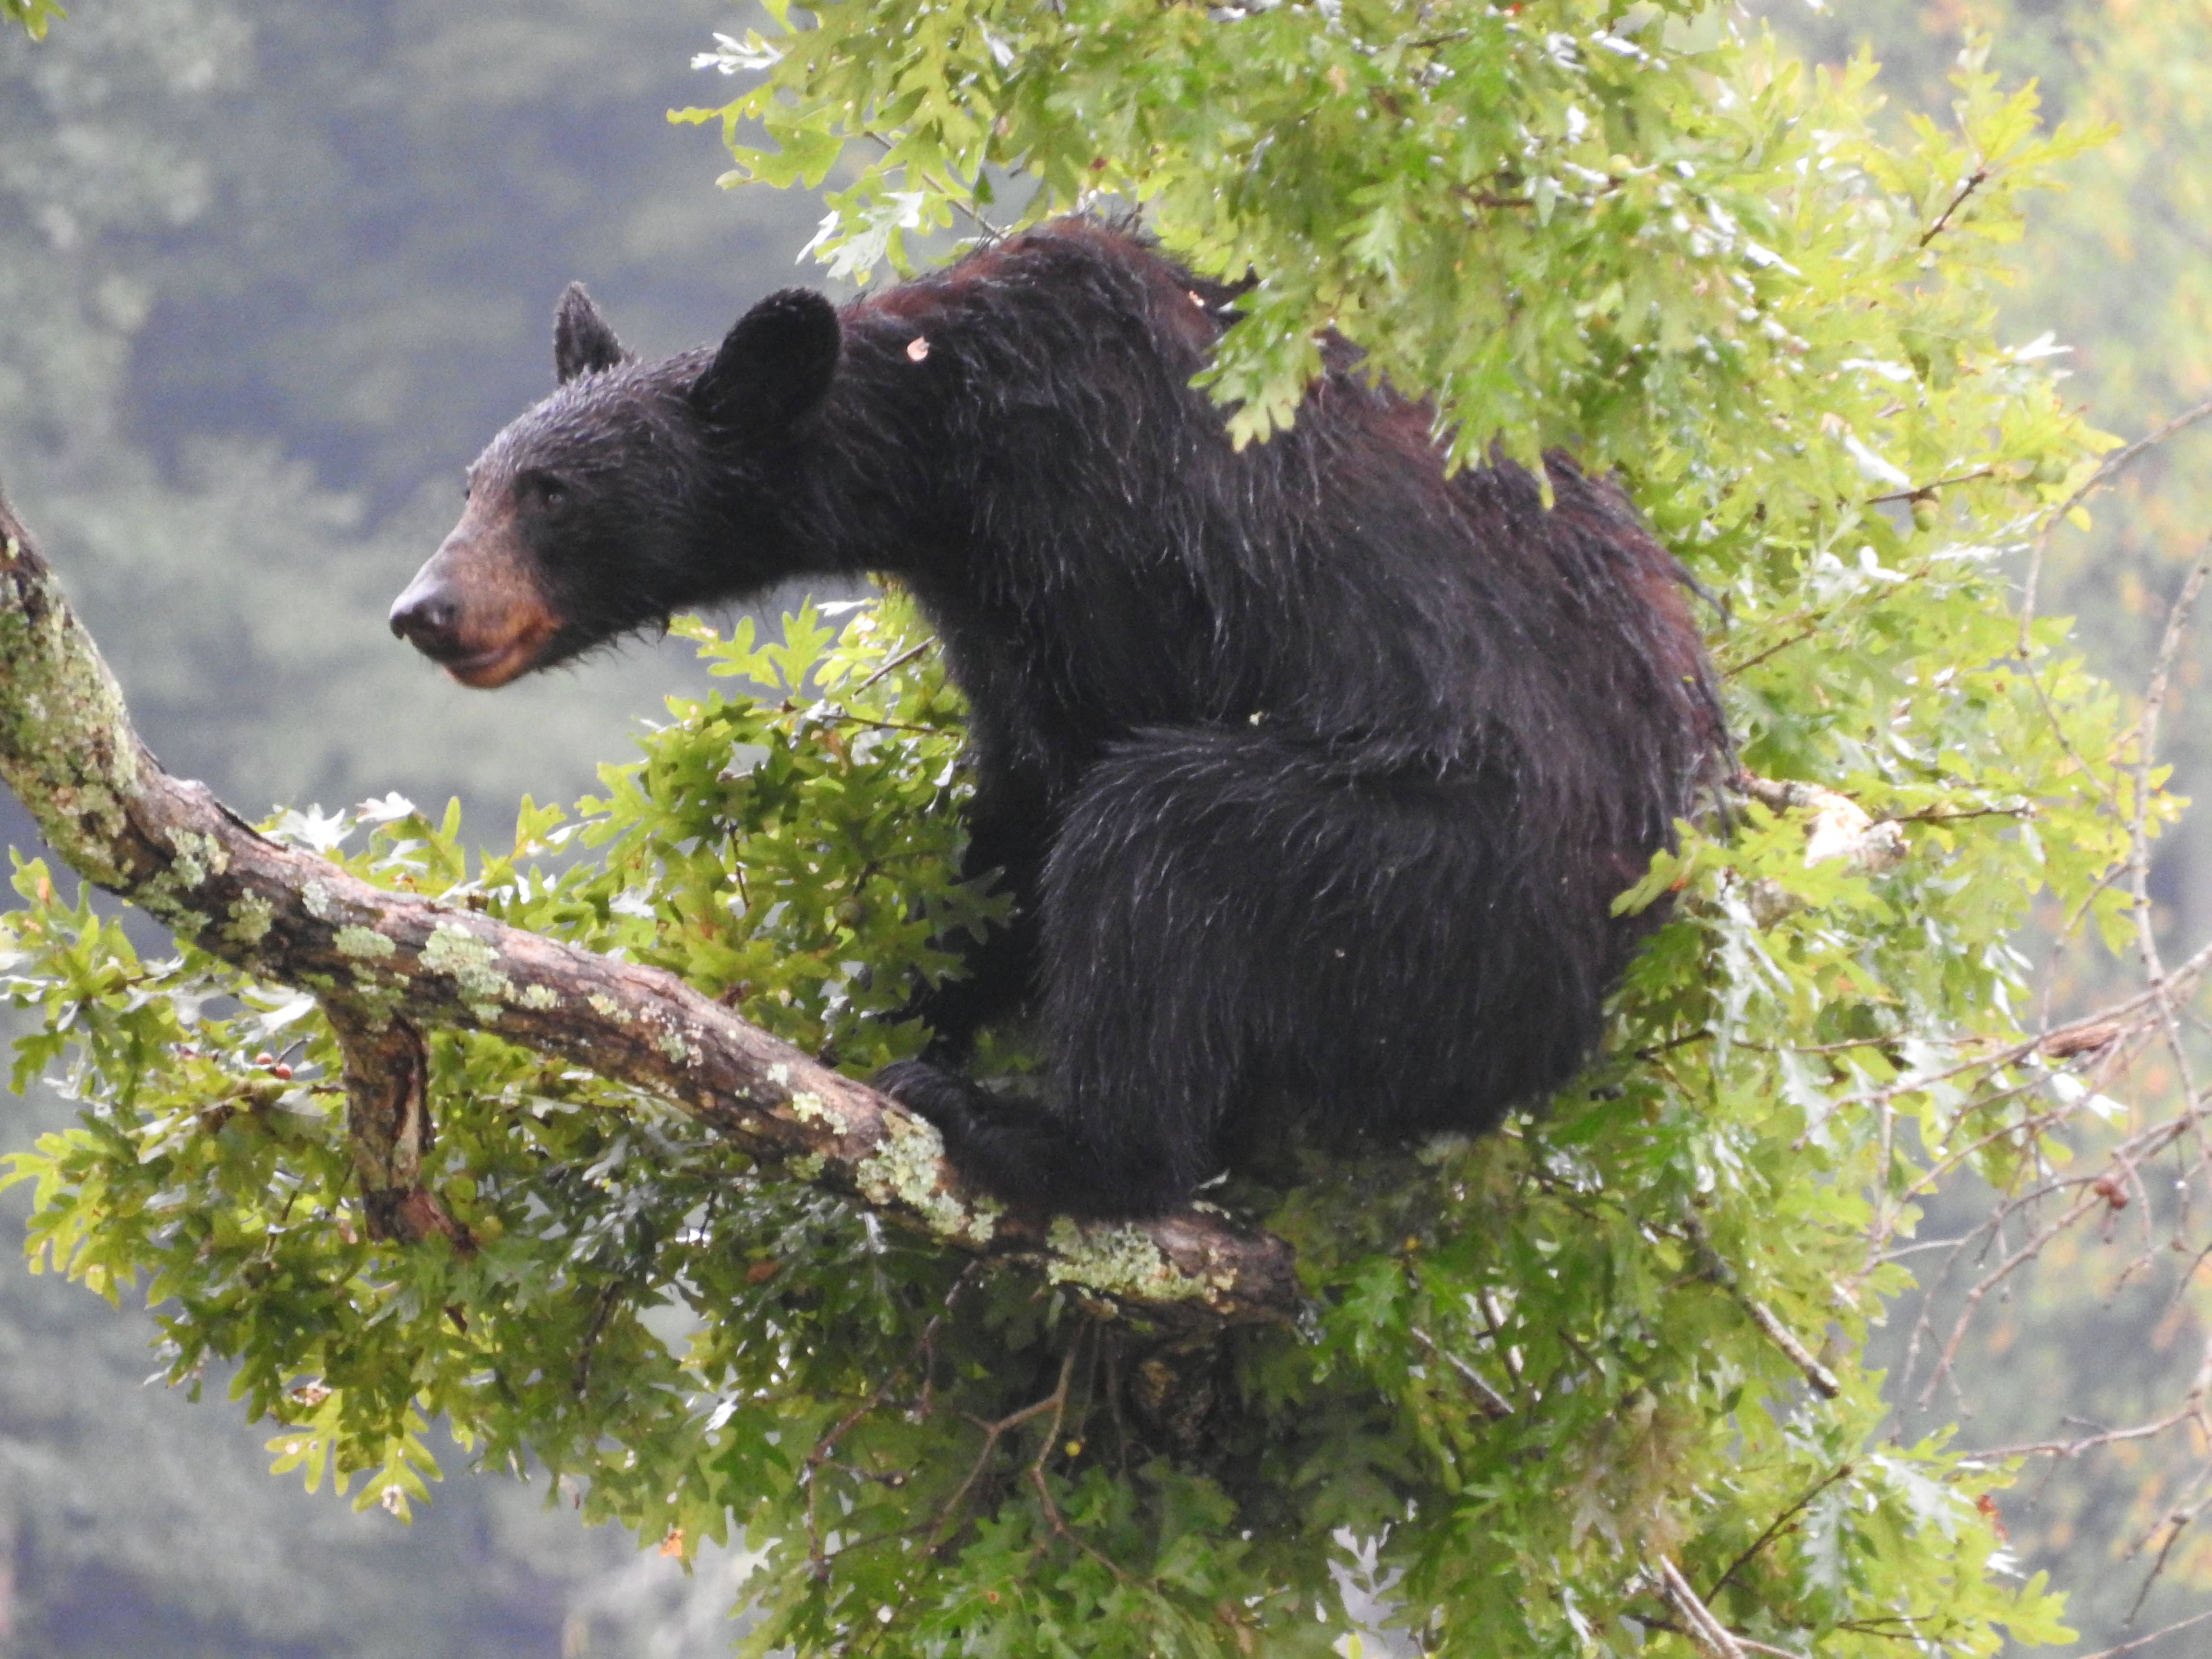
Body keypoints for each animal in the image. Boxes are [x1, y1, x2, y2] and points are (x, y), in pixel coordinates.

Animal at [389, 217, 1731, 1220]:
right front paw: (905, 993)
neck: (951, 435)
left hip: (1442, 881)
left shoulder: (1114, 531)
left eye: (553, 494)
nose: (425, 610)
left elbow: (1090, 764)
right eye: (475, 484)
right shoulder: (993, 603)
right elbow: (1014, 806)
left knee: (1168, 832)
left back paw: (1053, 1138)